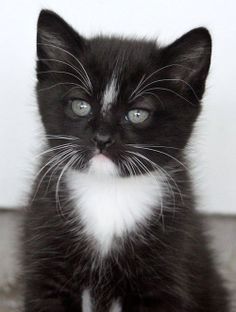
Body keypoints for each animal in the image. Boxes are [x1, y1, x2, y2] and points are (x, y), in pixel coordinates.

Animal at [23, 8, 230, 310]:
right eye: (80, 105)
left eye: (138, 114)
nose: (102, 138)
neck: (109, 192)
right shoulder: (47, 262)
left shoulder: (165, 267)